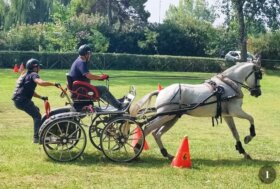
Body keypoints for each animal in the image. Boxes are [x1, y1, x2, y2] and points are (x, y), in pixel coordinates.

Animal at [131, 61, 262, 160]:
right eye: (259, 75)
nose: (258, 93)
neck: (228, 85)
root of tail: (161, 91)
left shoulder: (228, 115)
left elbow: (235, 133)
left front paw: (243, 151)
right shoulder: (236, 111)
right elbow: (251, 118)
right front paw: (249, 137)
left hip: (171, 117)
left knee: (156, 133)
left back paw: (166, 154)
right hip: (164, 116)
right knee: (147, 128)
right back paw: (137, 149)